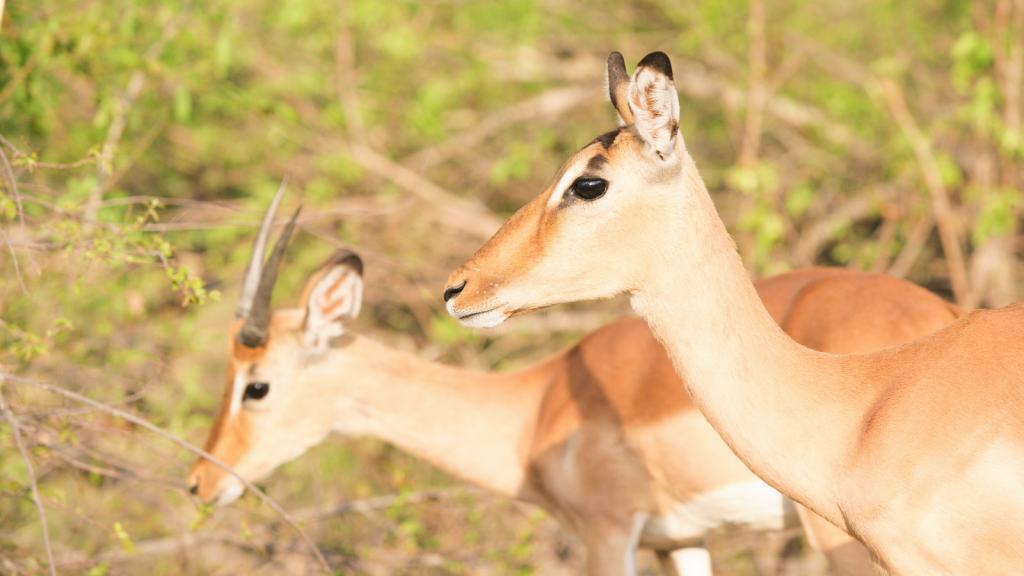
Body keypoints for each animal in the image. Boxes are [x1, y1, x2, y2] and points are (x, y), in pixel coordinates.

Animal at [186, 189, 958, 573]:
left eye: (255, 384)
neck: (537, 407)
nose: (199, 482)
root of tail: (943, 315)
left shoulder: (607, 532)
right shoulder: (679, 541)